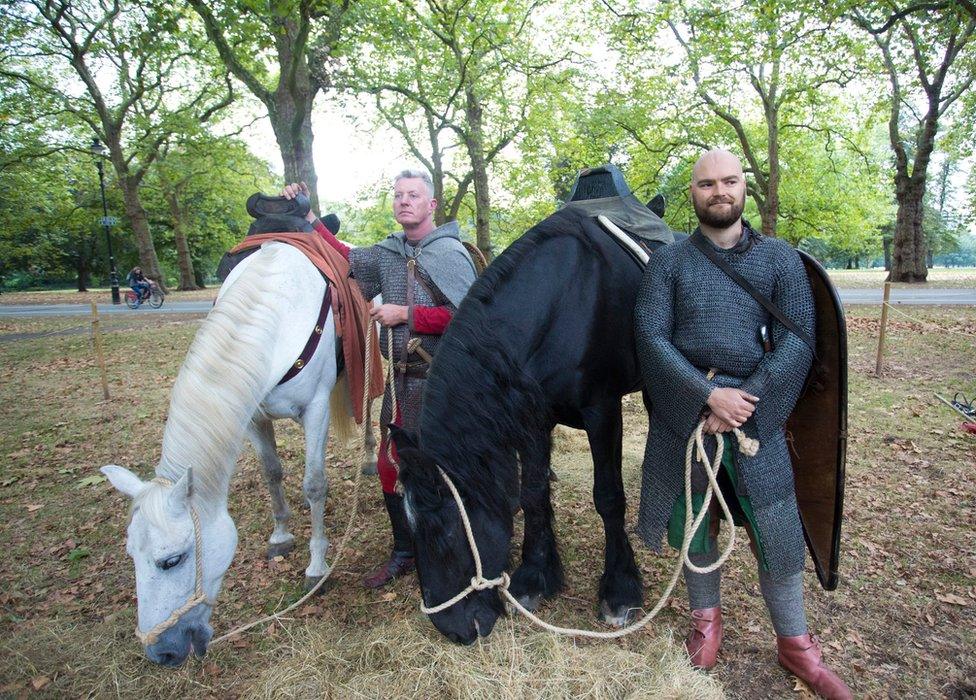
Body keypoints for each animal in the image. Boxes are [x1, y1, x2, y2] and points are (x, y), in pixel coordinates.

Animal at [102, 243, 370, 664]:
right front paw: (280, 535)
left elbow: (314, 484)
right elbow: (271, 472)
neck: (277, 307)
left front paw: (317, 565)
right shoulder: (253, 416)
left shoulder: (316, 410)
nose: (161, 653)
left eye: (172, 560)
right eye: (130, 554)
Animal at [392, 189, 668, 644]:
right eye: (410, 528)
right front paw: (536, 576)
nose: (453, 629)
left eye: (446, 529)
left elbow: (609, 497)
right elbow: (533, 493)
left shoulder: (603, 411)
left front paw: (620, 589)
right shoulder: (534, 418)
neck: (559, 302)